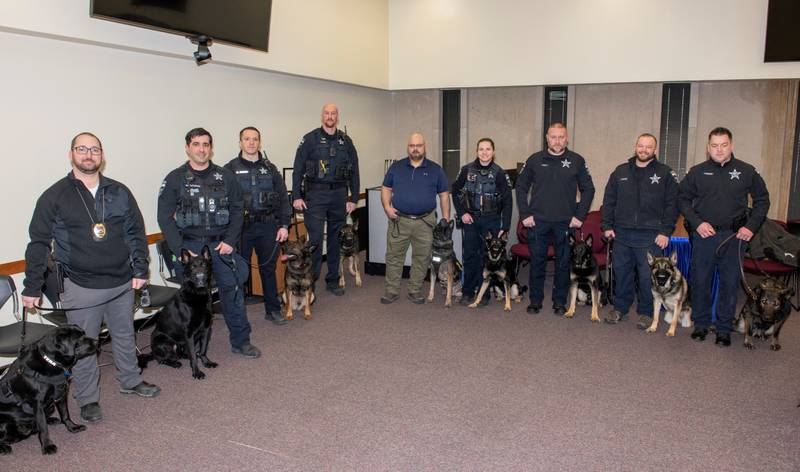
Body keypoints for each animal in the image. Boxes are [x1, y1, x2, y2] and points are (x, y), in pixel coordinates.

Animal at [0, 324, 97, 454]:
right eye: (79, 338)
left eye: (84, 333)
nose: (97, 341)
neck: (52, 362)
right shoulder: (38, 404)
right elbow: (43, 428)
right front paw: (47, 446)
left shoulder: (61, 394)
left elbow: (65, 414)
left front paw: (73, 427)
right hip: (4, 423)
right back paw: (4, 447)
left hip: (50, 407)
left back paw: (50, 420)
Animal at [139, 247, 217, 380]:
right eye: (192, 267)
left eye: (204, 265)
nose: (200, 277)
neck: (197, 294)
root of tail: (152, 352)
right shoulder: (189, 334)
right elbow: (194, 356)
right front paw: (196, 372)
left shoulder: (206, 329)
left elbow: (202, 350)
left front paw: (206, 362)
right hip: (163, 341)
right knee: (161, 360)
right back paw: (174, 363)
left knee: (183, 353)